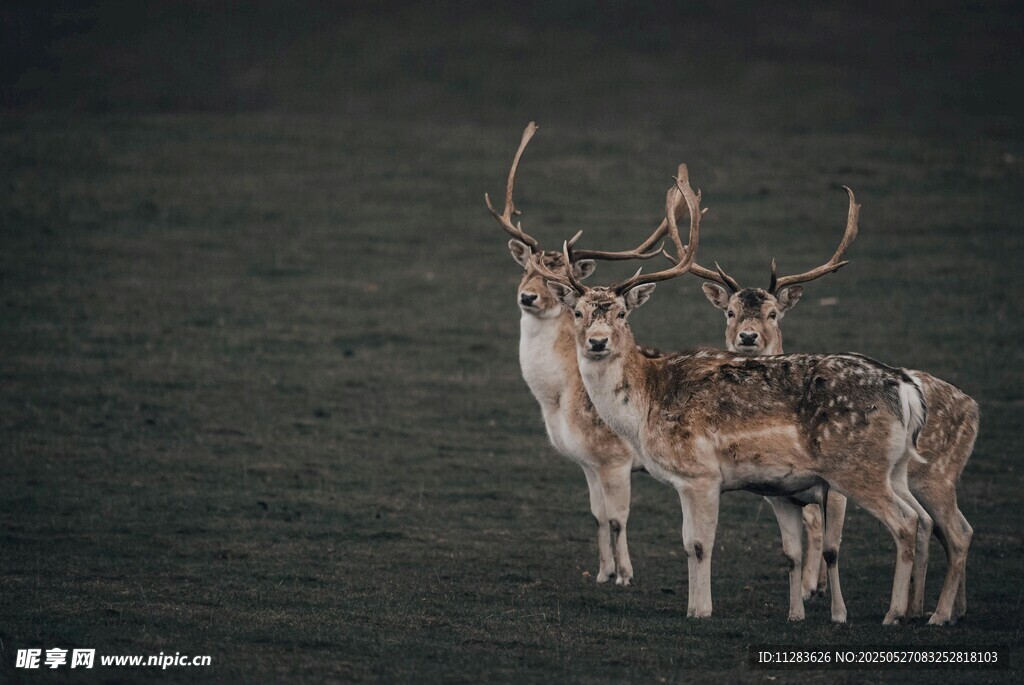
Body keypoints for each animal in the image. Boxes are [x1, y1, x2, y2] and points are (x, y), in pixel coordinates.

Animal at [484, 122, 674, 586]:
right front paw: (602, 573)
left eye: (560, 279)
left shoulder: (616, 460)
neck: (559, 400)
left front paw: (625, 575)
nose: (528, 297)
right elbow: (597, 516)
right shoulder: (587, 462)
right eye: (526, 269)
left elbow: (619, 518)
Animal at [545, 169, 932, 625]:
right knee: (922, 517)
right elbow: (688, 544)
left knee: (904, 522)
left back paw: (895, 613)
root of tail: (905, 388)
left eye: (622, 313)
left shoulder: (701, 474)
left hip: (858, 469)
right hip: (896, 467)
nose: (597, 342)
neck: (644, 409)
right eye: (578, 312)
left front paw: (699, 610)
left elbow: (698, 545)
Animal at [686, 188, 978, 625]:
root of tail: (974, 407)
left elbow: (830, 545)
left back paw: (934, 613)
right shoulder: (782, 489)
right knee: (939, 528)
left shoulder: (834, 490)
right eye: (730, 311)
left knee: (955, 530)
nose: (748, 337)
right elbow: (800, 541)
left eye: (773, 312)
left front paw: (828, 602)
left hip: (937, 476)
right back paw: (941, 608)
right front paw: (806, 597)